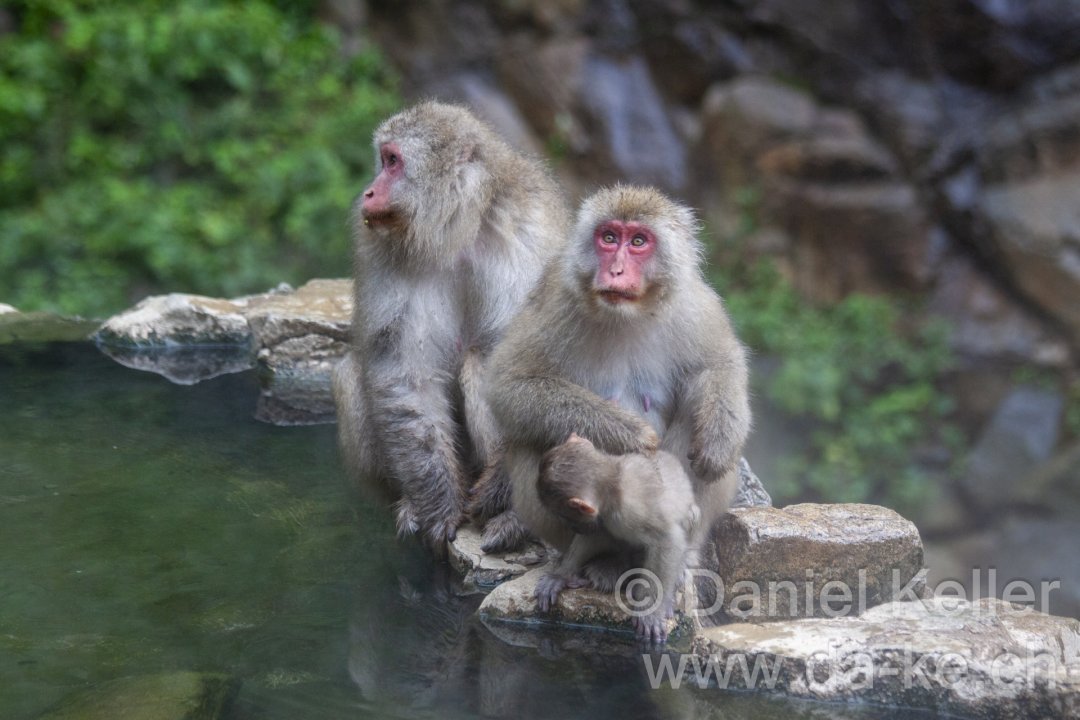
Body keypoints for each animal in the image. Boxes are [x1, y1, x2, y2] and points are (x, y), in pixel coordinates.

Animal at [331, 101, 568, 550]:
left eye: (393, 161)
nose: (368, 193)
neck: (460, 229)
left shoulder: (528, 235)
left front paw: (504, 500)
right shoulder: (382, 247)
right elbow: (404, 370)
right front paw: (437, 502)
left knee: (484, 360)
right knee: (351, 373)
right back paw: (409, 500)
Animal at [535, 434, 699, 643]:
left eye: (564, 516)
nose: (572, 527)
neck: (615, 480)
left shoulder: (630, 510)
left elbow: (668, 540)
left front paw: (652, 610)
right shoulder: (603, 515)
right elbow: (597, 533)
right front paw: (562, 575)